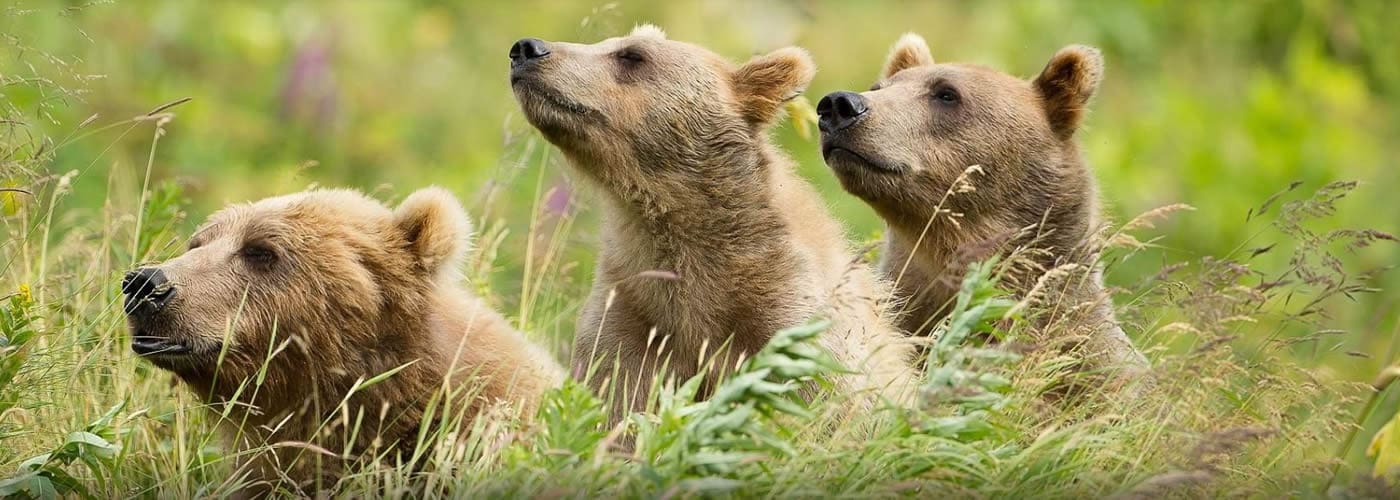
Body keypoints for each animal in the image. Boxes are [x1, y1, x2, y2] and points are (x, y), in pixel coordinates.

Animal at [508, 25, 917, 422]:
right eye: (608, 43)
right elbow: (619, 399)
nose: (527, 49)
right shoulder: (633, 311)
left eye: (631, 55)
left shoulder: (787, 313)